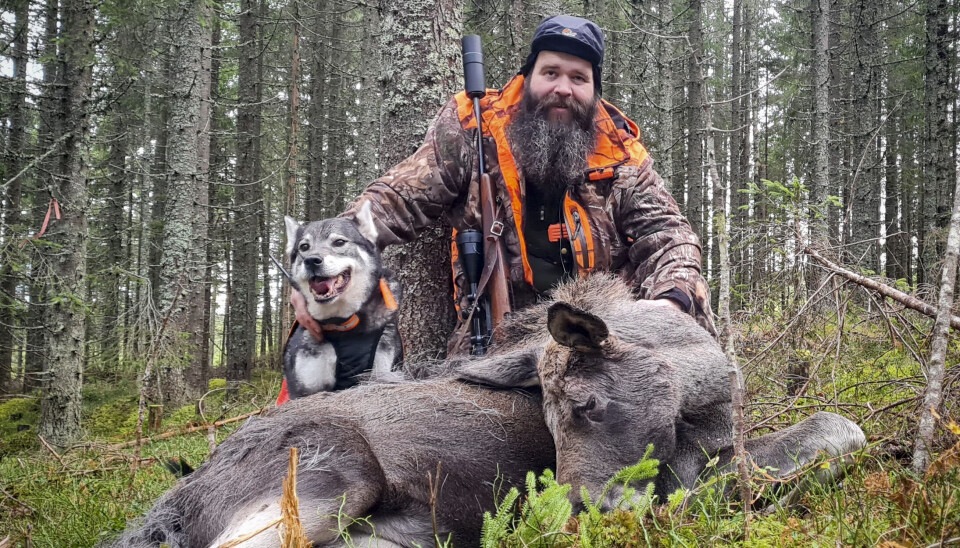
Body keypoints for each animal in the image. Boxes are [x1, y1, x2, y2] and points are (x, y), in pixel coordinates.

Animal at [109, 276, 868, 544]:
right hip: (328, 476)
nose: (576, 512)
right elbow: (835, 430)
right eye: (553, 416)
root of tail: (178, 504)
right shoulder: (693, 473)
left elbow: (840, 431)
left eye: (586, 403)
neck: (710, 388)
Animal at [284, 202, 404, 398]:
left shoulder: (381, 374)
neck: (344, 324)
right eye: (304, 247)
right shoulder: (306, 391)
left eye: (339, 242)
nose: (311, 260)